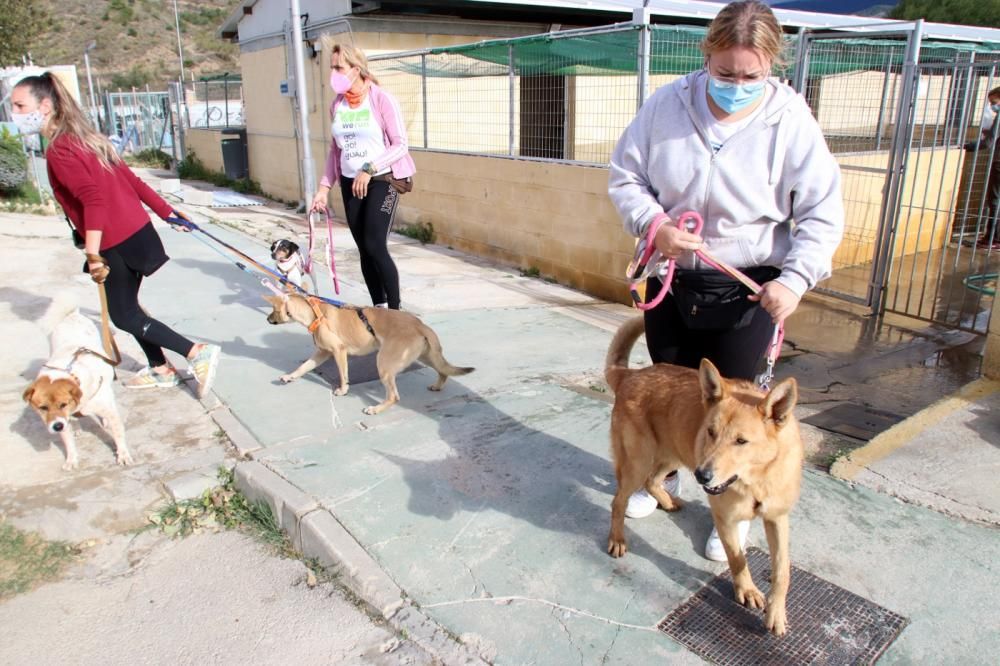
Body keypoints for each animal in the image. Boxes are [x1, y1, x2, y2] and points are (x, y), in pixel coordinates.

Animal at [23, 310, 131, 470]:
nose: (57, 427)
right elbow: (68, 443)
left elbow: (118, 434)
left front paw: (123, 455)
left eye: (63, 404)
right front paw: (71, 460)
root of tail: (73, 313)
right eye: (43, 407)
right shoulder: (62, 420)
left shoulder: (109, 412)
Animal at [600, 316, 804, 632]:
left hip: (672, 454)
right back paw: (618, 538)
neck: (757, 479)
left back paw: (666, 500)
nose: (702, 476)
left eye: (741, 441)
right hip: (639, 461)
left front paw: (776, 612)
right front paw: (746, 590)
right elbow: (738, 558)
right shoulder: (725, 517)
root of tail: (632, 375)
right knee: (619, 501)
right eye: (711, 431)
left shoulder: (777, 518)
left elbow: (782, 570)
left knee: (653, 480)